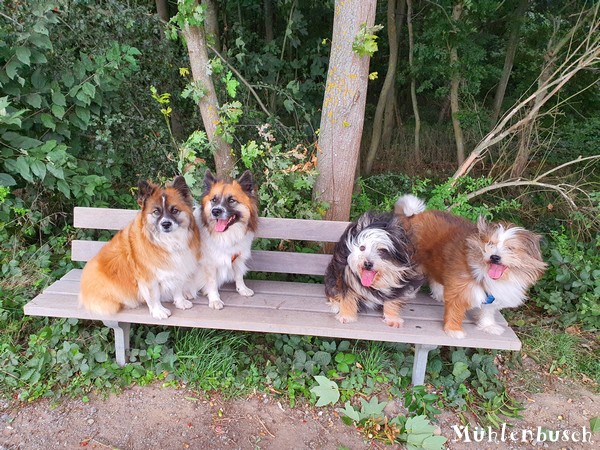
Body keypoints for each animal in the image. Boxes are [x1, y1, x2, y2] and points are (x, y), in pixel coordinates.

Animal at [78, 176, 202, 320]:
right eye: (156, 212)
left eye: (174, 210)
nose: (166, 224)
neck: (168, 241)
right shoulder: (148, 276)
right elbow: (153, 294)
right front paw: (158, 311)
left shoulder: (178, 266)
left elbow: (177, 286)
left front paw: (180, 301)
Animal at [197, 169, 258, 310]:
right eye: (214, 200)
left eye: (231, 200)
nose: (215, 211)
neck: (227, 235)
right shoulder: (209, 263)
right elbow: (212, 282)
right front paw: (214, 299)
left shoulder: (237, 255)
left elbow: (239, 274)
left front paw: (242, 289)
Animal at [396, 193, 548, 338]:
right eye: (490, 244)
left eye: (510, 248)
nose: (494, 257)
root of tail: (414, 216)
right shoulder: (460, 286)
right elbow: (455, 309)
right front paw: (453, 330)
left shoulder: (492, 296)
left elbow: (488, 310)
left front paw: (488, 325)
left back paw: (439, 293)